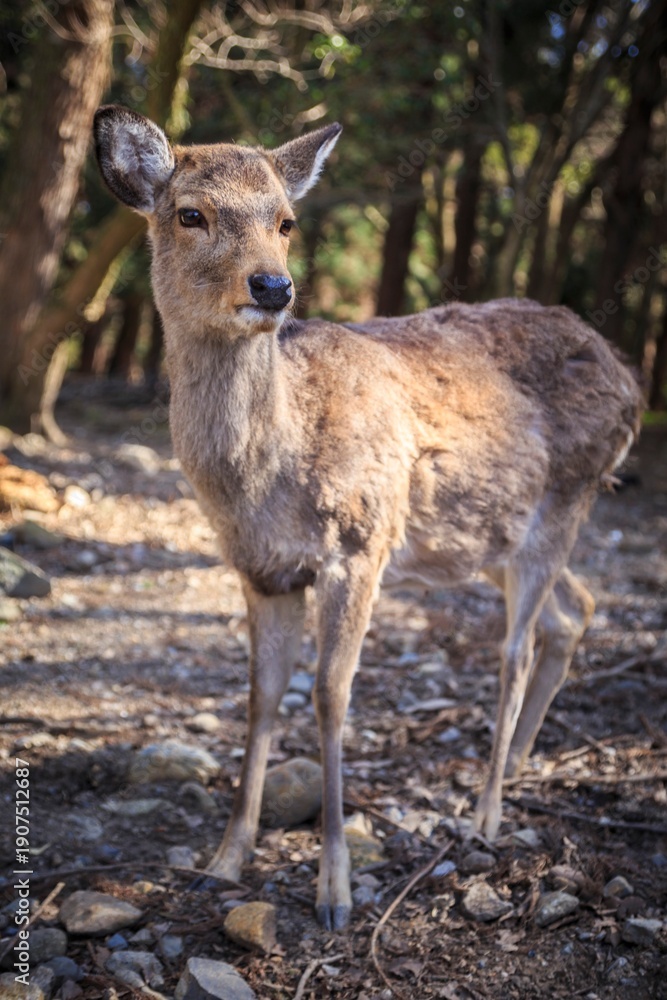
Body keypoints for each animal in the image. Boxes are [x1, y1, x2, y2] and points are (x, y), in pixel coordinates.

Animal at [94, 105, 642, 931]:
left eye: (285, 221)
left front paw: (334, 891)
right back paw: (515, 766)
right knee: (574, 609)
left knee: (514, 649)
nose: (272, 286)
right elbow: (260, 695)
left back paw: (483, 815)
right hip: (491, 537)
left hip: (565, 499)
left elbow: (330, 693)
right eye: (190, 213)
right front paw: (221, 863)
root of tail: (631, 382)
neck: (262, 478)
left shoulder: (360, 544)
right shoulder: (260, 567)